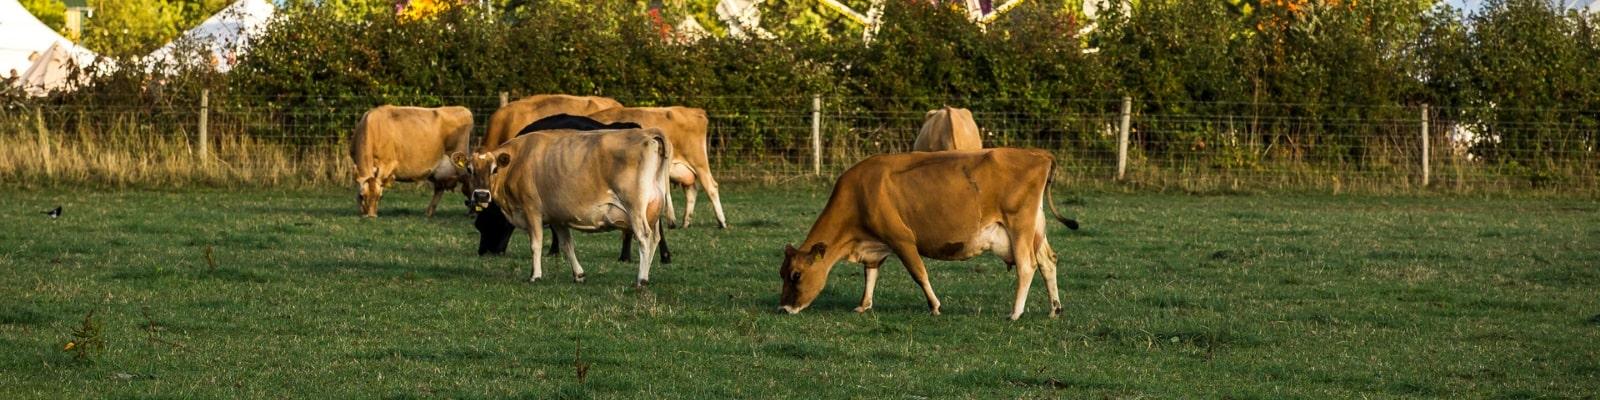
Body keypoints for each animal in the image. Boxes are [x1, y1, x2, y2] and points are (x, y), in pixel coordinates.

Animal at [454, 129, 672, 286]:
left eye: (494, 169)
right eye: (469, 169)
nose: (481, 195)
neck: (519, 159)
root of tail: (647, 133)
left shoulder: (532, 210)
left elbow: (536, 244)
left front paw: (535, 275)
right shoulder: (557, 217)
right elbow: (567, 245)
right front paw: (579, 275)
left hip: (635, 208)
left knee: (644, 238)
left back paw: (641, 279)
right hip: (653, 210)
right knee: (655, 238)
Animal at [588, 106, 732, 230]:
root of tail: (695, 111)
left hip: (698, 161)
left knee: (711, 187)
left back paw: (721, 222)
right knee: (691, 190)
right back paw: (685, 222)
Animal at [777, 148, 1081, 320]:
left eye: (796, 275)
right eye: (782, 273)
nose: (783, 308)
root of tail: (1038, 154)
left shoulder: (901, 239)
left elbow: (919, 273)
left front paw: (934, 305)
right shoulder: (876, 245)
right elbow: (870, 274)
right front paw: (864, 305)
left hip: (1019, 226)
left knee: (1027, 266)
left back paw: (1015, 313)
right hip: (1036, 229)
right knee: (1048, 262)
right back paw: (1054, 309)